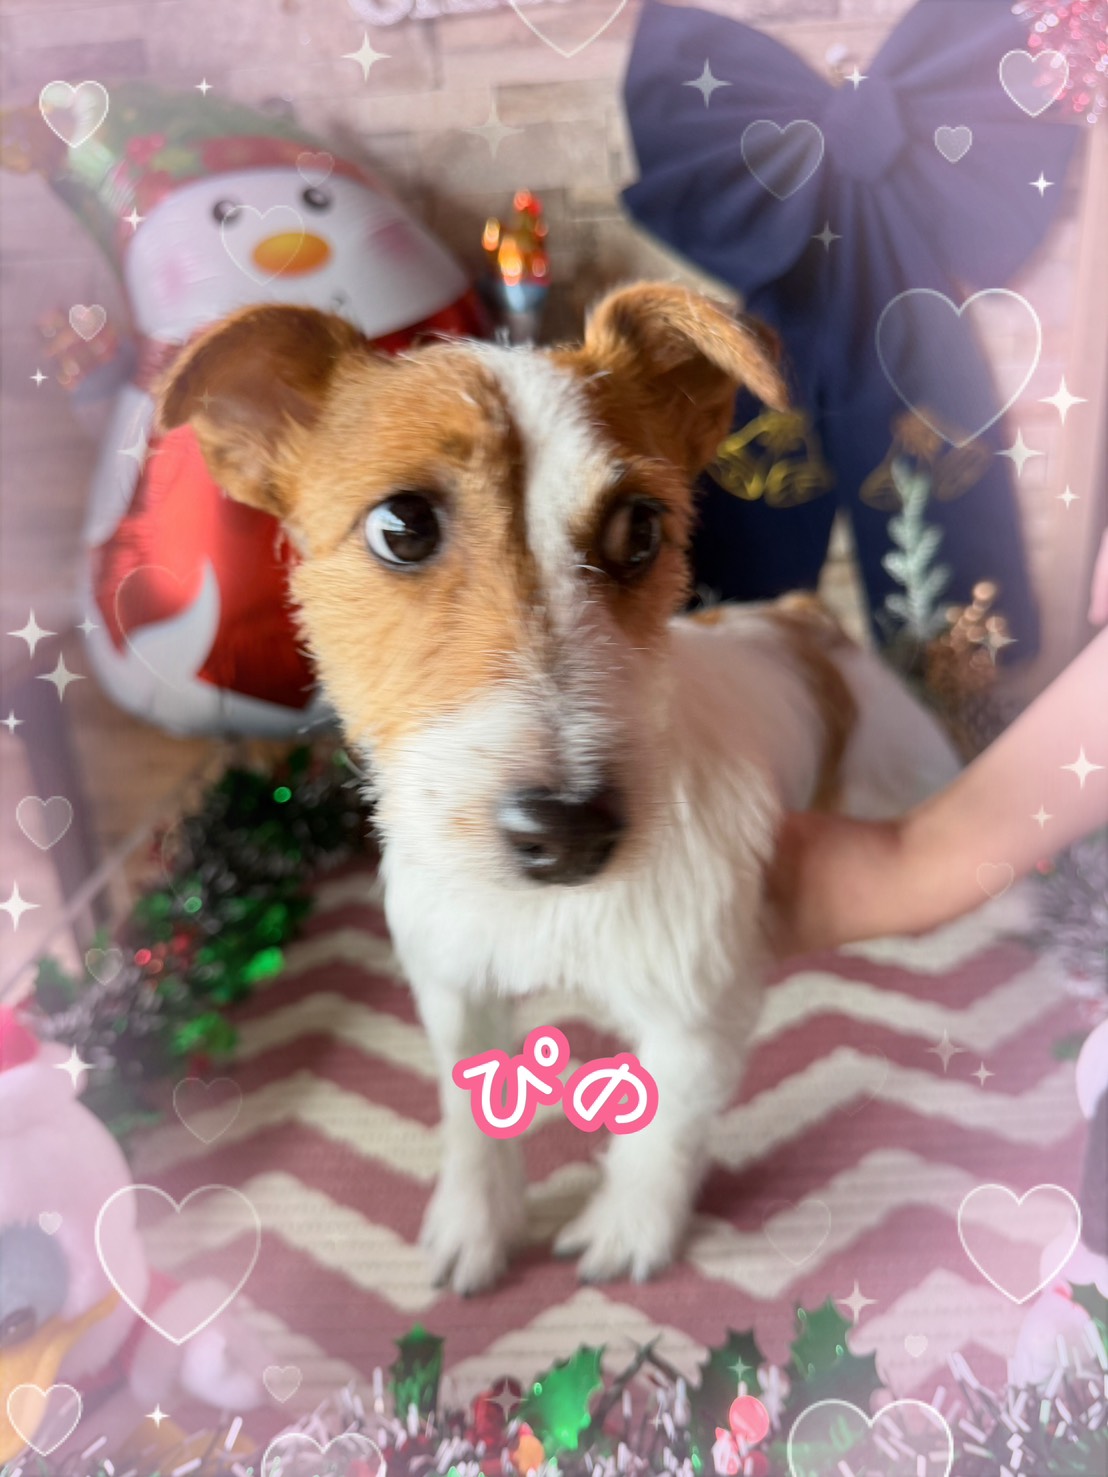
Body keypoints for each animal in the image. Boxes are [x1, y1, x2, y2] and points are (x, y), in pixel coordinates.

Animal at [156, 282, 960, 1293]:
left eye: (642, 528)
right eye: (400, 526)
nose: (570, 830)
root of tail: (811, 619)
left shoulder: (699, 1009)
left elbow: (665, 1130)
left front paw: (629, 1226)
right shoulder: (453, 984)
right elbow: (470, 1118)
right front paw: (476, 1221)